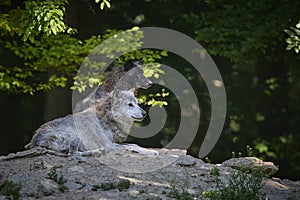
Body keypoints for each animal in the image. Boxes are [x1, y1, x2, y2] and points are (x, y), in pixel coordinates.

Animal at [29, 89, 158, 156]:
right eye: (130, 104)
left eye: (137, 103)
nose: (144, 114)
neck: (107, 118)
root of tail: (34, 141)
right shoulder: (109, 144)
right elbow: (131, 147)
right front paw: (151, 152)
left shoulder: (113, 142)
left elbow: (134, 145)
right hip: (76, 136)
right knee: (73, 154)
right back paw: (98, 151)